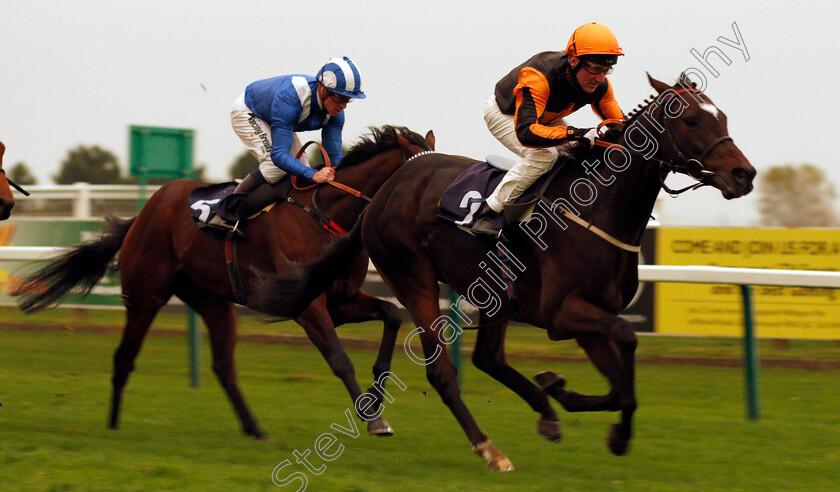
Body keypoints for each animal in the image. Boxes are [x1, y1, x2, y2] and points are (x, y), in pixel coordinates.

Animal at [14, 125, 434, 436]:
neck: (325, 214)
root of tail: (144, 212)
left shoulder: (339, 299)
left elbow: (392, 315)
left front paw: (377, 395)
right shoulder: (306, 305)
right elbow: (340, 359)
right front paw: (374, 419)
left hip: (213, 300)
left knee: (222, 366)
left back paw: (254, 428)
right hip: (145, 294)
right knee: (125, 356)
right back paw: (114, 427)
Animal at [254, 73, 756, 468]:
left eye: (724, 117)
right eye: (691, 120)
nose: (744, 175)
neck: (598, 208)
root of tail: (382, 193)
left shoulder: (592, 317)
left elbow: (621, 381)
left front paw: (573, 401)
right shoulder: (561, 314)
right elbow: (629, 338)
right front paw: (601, 422)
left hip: (492, 291)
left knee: (487, 358)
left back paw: (545, 413)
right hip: (414, 277)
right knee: (444, 372)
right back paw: (488, 448)